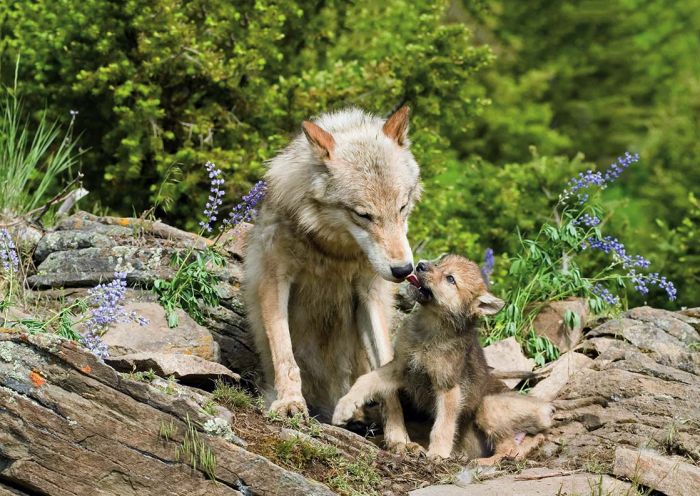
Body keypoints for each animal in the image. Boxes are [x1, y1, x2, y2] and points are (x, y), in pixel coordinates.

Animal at [246, 104, 422, 434]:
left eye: (402, 208)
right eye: (363, 215)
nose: (404, 270)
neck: (333, 251)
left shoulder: (369, 295)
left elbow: (385, 370)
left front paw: (399, 437)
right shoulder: (274, 279)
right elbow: (285, 354)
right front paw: (289, 403)